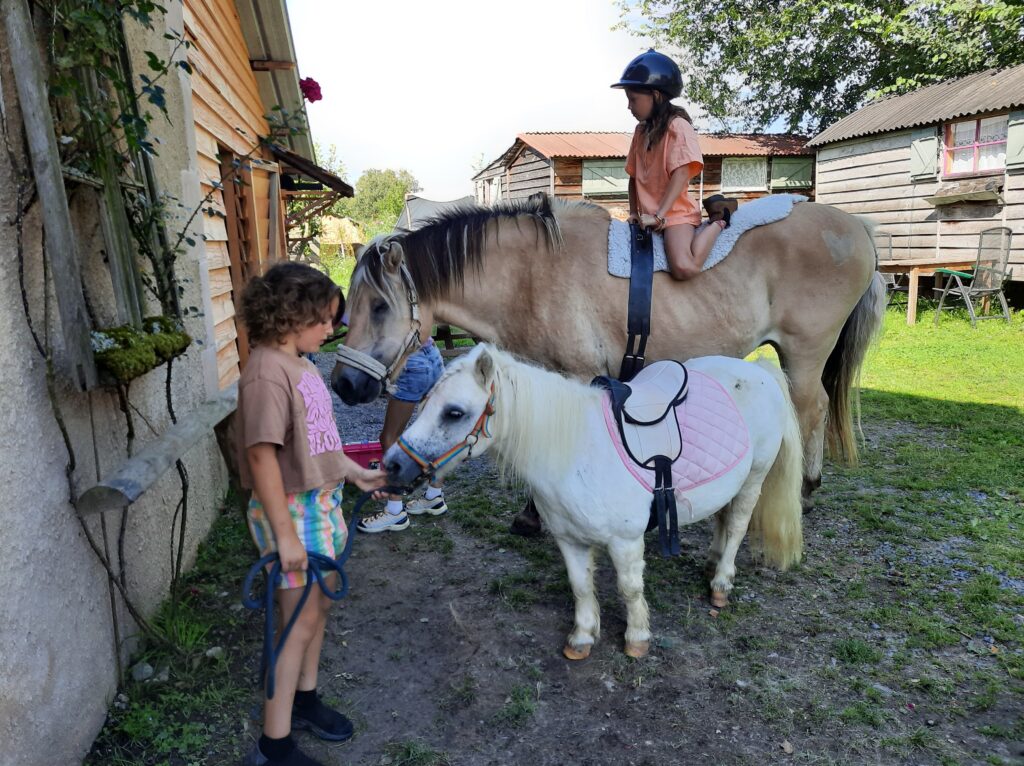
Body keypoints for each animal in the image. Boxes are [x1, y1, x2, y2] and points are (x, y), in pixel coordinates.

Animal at [332, 195, 884, 505]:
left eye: (378, 307)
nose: (343, 383)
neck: (531, 275)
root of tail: (858, 226)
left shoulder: (578, 375)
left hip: (805, 355)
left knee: (812, 410)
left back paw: (808, 487)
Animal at [384, 344, 804, 659]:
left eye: (454, 412)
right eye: (424, 401)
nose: (392, 465)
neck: (577, 451)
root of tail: (758, 368)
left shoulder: (626, 541)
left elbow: (629, 589)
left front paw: (636, 639)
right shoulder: (569, 539)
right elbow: (581, 586)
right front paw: (583, 637)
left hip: (754, 479)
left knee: (736, 526)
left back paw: (720, 583)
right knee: (722, 519)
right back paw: (712, 563)